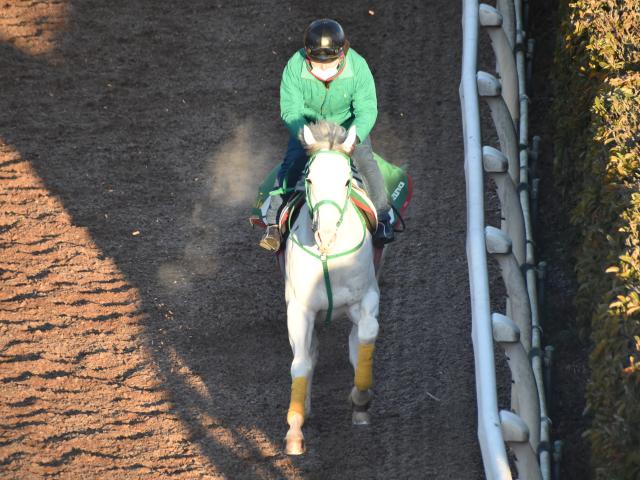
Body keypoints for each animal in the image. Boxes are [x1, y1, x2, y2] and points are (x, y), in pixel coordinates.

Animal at [282, 122, 380, 456]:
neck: (328, 254)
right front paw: (295, 429)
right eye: (310, 178)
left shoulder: (366, 297)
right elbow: (301, 363)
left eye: (347, 180)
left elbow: (365, 336)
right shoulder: (300, 309)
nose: (324, 233)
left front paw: (361, 400)